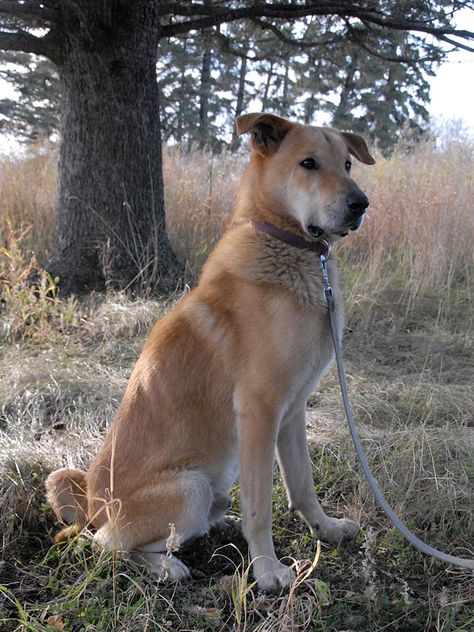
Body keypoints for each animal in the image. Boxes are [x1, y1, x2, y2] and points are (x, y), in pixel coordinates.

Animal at [46, 113, 376, 592]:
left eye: (348, 163)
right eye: (308, 163)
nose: (360, 204)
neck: (293, 252)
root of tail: (92, 503)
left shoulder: (292, 412)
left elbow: (302, 486)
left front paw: (325, 530)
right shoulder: (259, 412)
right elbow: (260, 507)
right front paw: (268, 570)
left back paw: (218, 525)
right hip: (191, 488)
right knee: (105, 544)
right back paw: (164, 566)